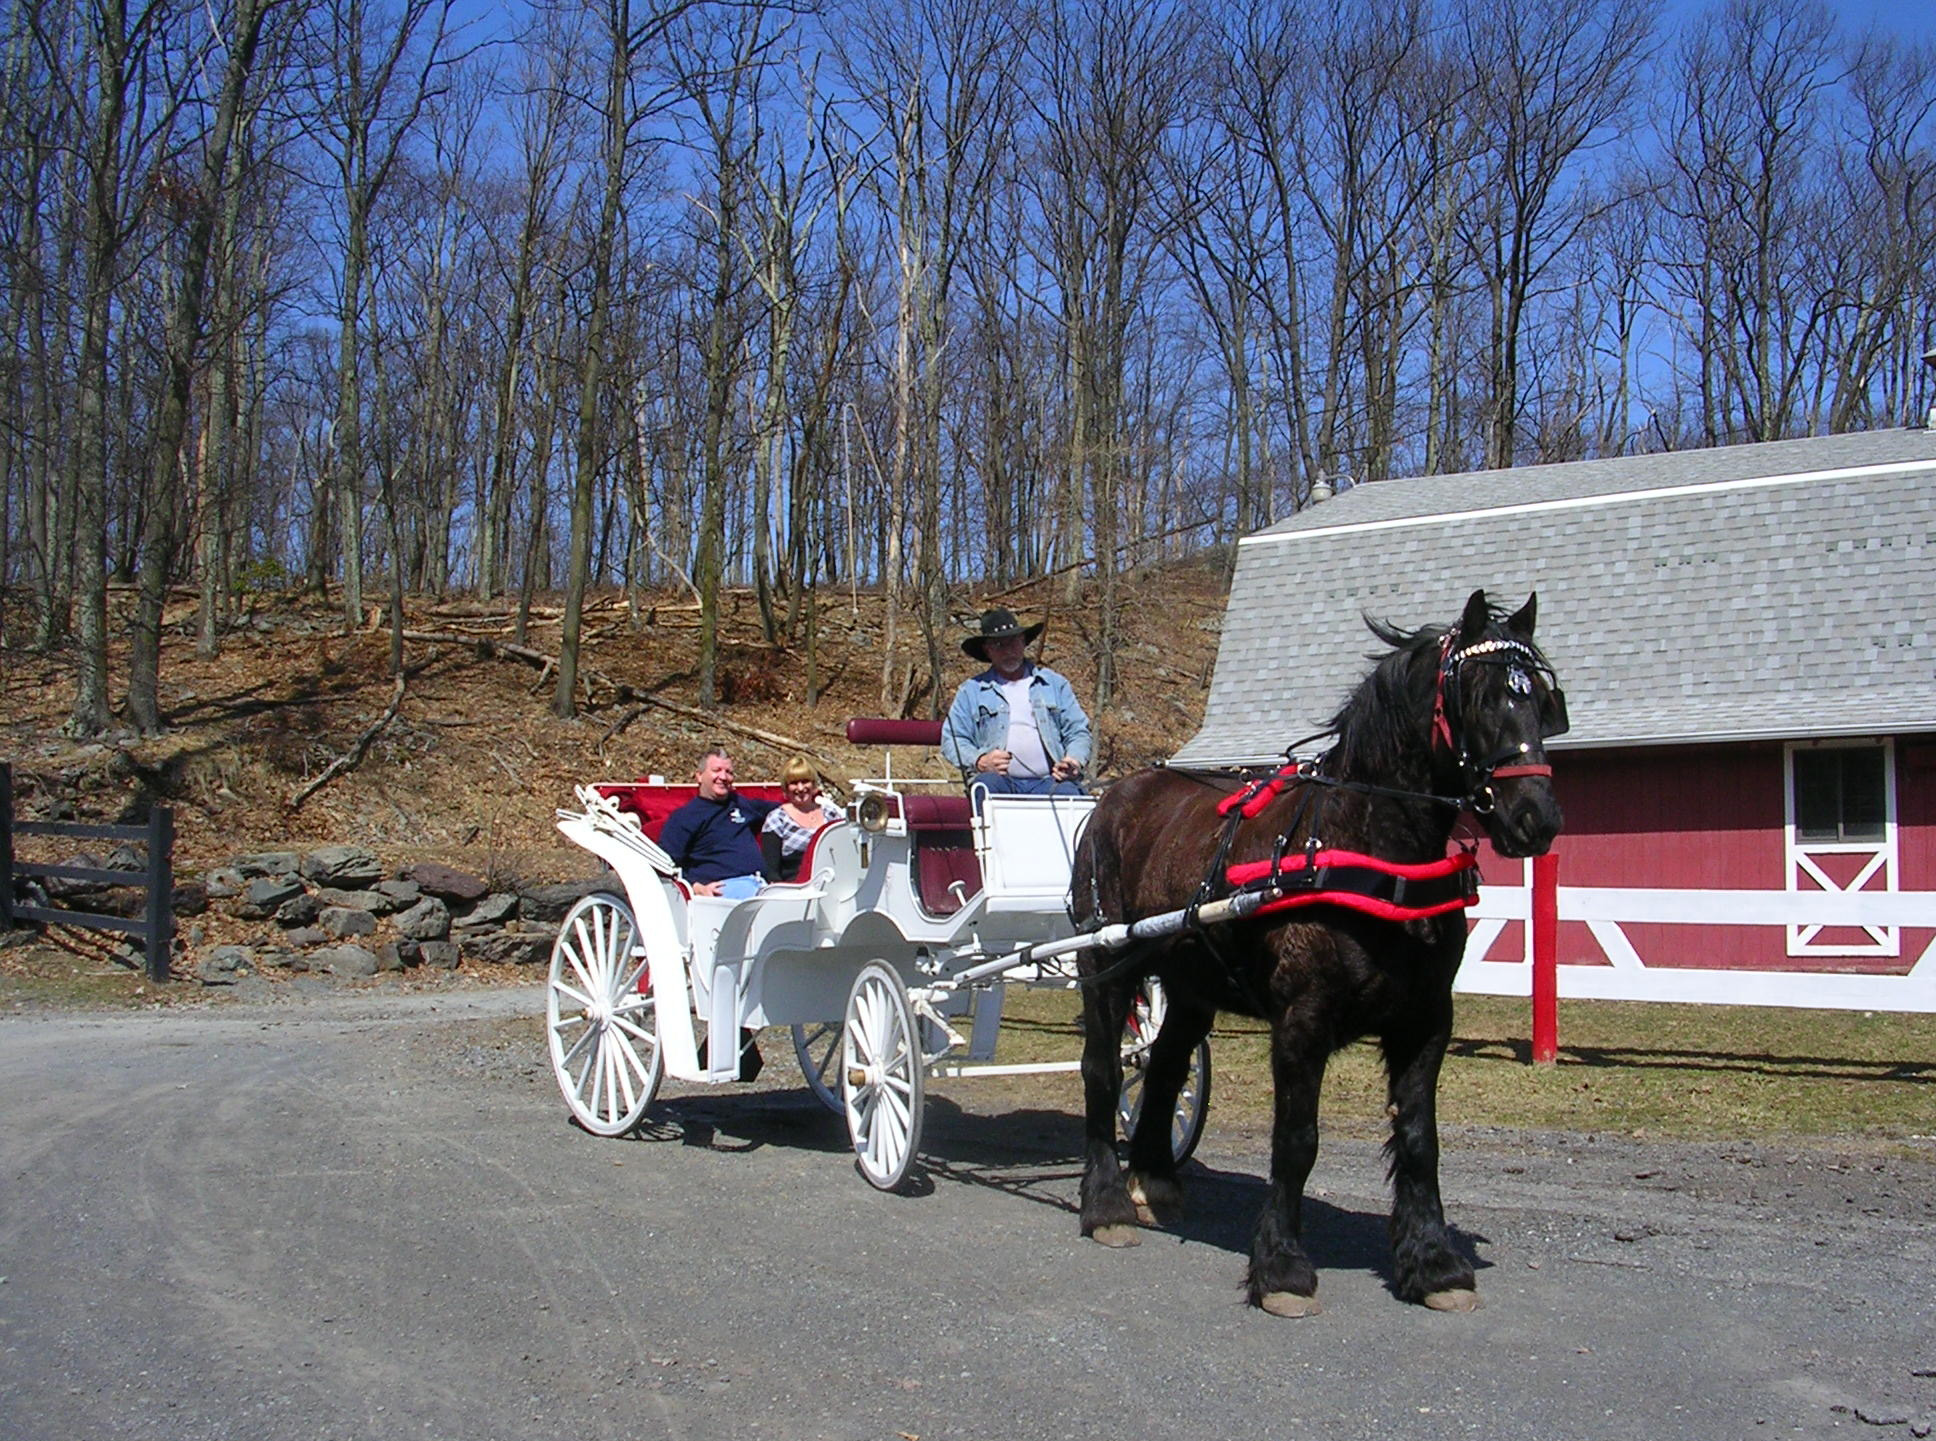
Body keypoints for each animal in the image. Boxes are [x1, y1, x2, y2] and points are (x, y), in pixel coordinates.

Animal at [1076, 588, 1572, 1317]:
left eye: (1542, 700)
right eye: (1479, 699)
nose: (1535, 818)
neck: (1366, 848)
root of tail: (1115, 794)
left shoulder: (1426, 1020)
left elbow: (1420, 1141)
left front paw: (1433, 1263)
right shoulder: (1302, 1020)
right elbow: (1297, 1139)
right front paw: (1281, 1266)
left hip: (1191, 983)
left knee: (1163, 1066)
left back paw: (1154, 1177)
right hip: (1106, 965)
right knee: (1104, 1070)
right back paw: (1107, 1201)